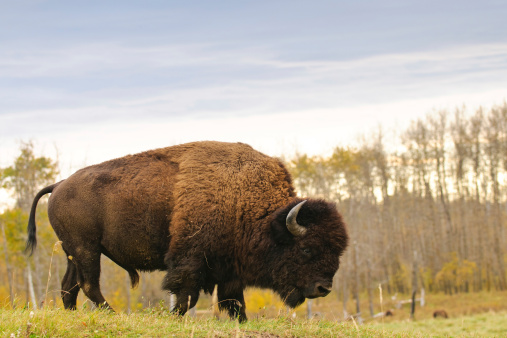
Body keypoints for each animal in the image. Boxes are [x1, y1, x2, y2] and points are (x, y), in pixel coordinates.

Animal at [24, 141, 350, 322]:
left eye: (337, 250)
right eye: (306, 248)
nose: (324, 288)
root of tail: (59, 184)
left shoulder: (228, 268)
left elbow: (234, 301)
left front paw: (242, 322)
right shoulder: (191, 259)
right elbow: (185, 293)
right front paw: (175, 317)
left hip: (73, 252)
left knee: (69, 286)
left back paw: (75, 314)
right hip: (86, 249)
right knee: (89, 284)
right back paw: (111, 313)